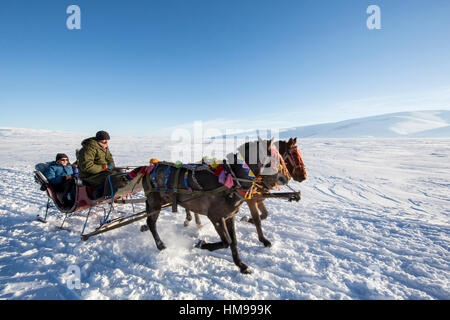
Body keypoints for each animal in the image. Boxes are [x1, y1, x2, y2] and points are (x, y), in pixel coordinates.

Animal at [141, 138, 290, 272]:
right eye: (277, 159)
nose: (287, 178)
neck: (232, 182)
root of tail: (148, 168)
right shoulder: (215, 217)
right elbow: (227, 241)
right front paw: (201, 244)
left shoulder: (229, 216)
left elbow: (234, 241)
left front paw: (241, 265)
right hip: (156, 202)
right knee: (151, 222)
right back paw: (160, 244)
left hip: (160, 201)